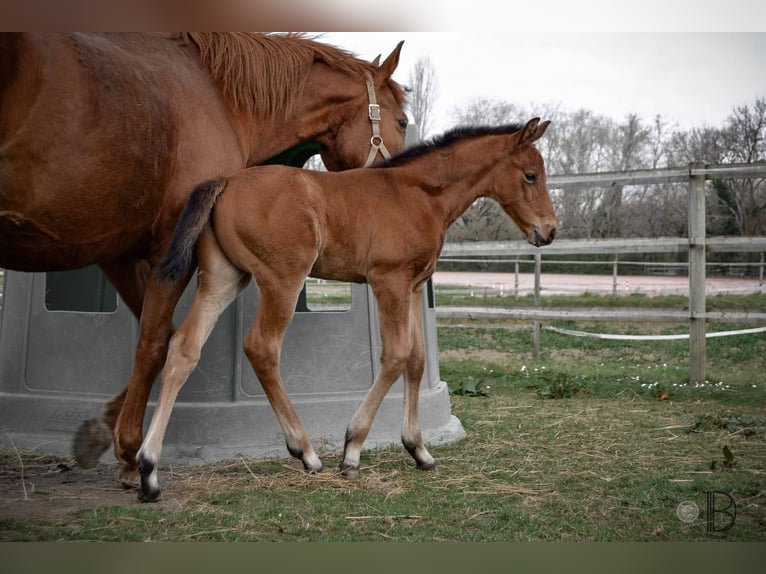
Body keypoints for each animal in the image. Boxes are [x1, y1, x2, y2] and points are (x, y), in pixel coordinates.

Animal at [0, 32, 409, 486]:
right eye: (403, 122)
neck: (218, 93)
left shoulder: (118, 254)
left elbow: (163, 336)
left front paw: (105, 431)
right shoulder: (171, 251)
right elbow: (155, 343)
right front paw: (131, 450)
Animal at [135, 117, 557, 502]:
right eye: (531, 175)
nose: (550, 231)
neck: (419, 195)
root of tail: (226, 182)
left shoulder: (412, 286)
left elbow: (417, 360)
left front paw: (419, 449)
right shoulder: (389, 281)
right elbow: (396, 356)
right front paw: (352, 450)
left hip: (223, 278)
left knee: (184, 349)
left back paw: (149, 471)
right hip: (282, 279)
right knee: (261, 347)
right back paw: (306, 453)